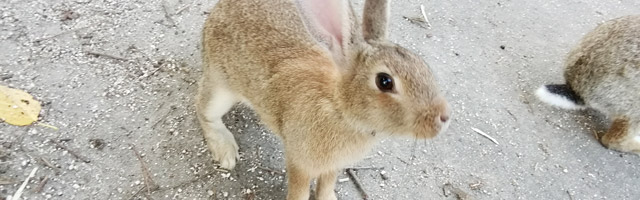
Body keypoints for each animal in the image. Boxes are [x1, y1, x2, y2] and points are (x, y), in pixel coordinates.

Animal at [195, 0, 450, 198]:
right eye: (384, 81)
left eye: (422, 65)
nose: (444, 117)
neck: (341, 109)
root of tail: (217, 12)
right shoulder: (300, 161)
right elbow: (299, 190)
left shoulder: (333, 166)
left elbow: (327, 184)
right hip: (221, 88)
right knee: (203, 110)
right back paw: (226, 152)